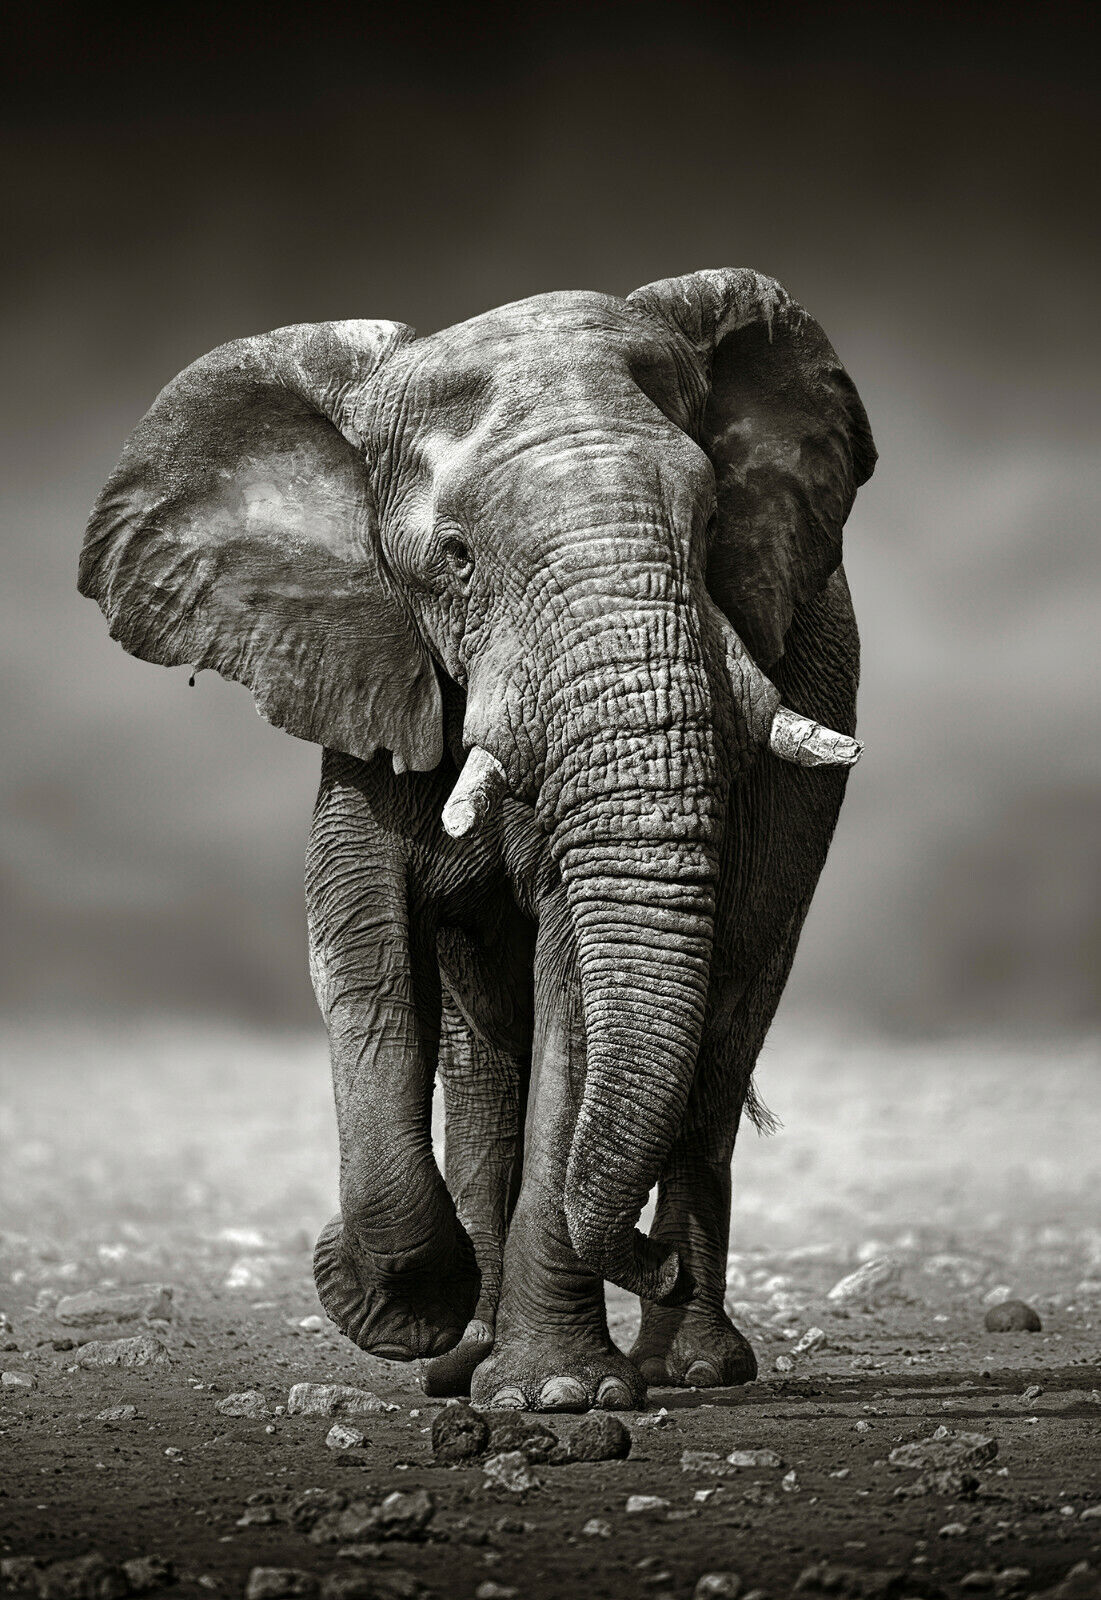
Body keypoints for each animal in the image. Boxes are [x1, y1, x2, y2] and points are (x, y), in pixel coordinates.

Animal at [78, 267, 875, 1412]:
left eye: (713, 519)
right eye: (453, 560)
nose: (647, 1262)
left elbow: (574, 981)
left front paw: (559, 1396)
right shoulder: (368, 666)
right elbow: (359, 946)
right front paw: (404, 1309)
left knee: (721, 1033)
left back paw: (687, 1366)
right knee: (484, 1060)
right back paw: (469, 1358)